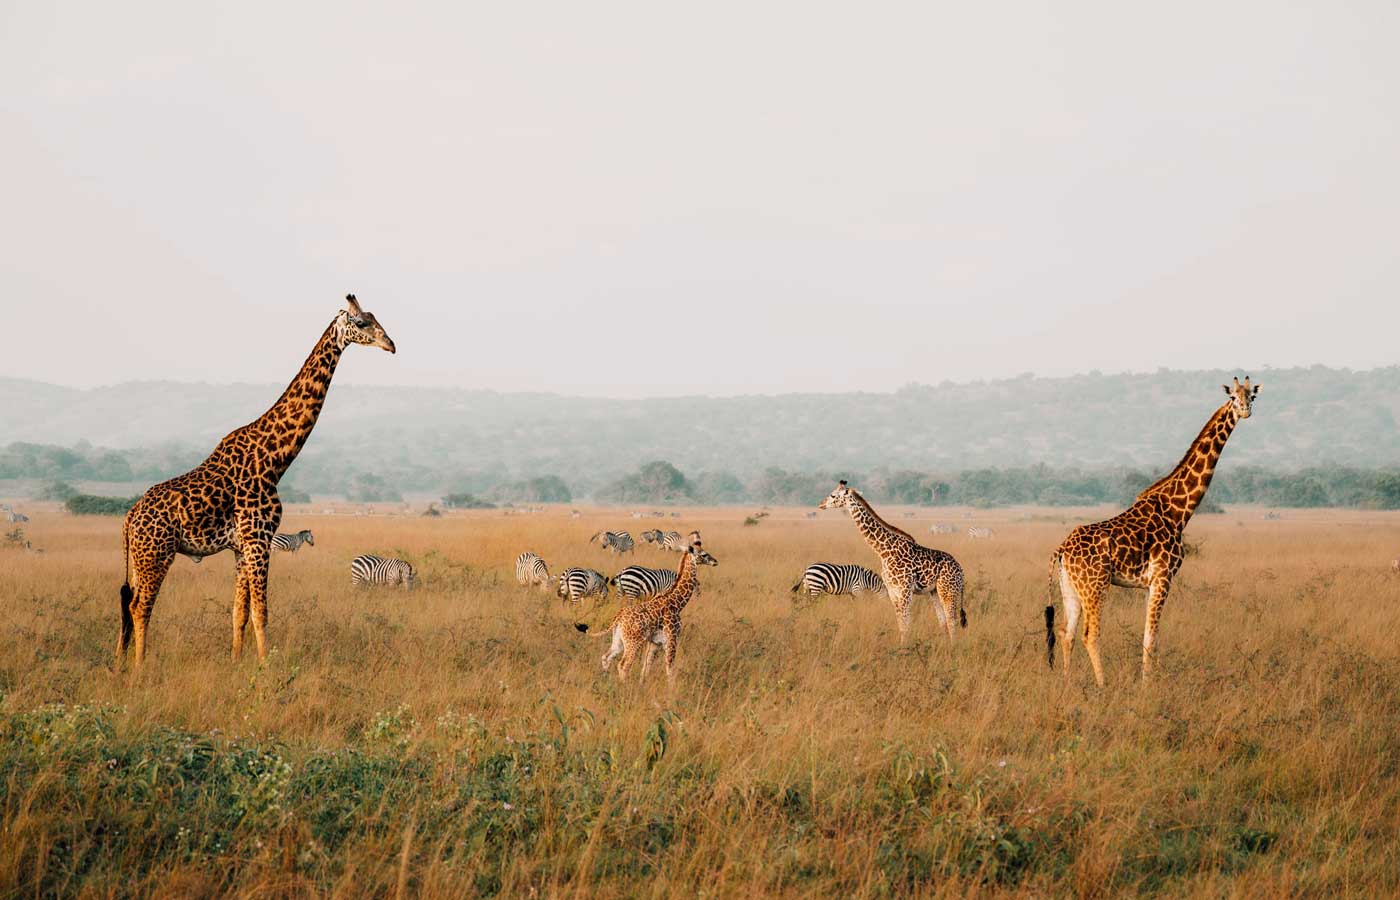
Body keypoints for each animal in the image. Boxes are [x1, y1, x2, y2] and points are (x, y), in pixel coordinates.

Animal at [116, 295, 394, 669]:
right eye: (363, 323)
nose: (391, 345)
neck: (275, 458)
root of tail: (129, 519)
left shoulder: (241, 546)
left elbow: (239, 612)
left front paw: (236, 661)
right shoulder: (259, 539)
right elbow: (262, 612)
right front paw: (266, 666)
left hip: (139, 557)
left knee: (127, 602)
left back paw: (119, 660)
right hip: (157, 553)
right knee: (139, 606)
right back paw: (140, 666)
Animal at [574, 531, 716, 685]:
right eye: (704, 554)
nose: (715, 561)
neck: (676, 602)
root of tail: (619, 617)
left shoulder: (654, 643)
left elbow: (646, 668)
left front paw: (642, 685)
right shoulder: (671, 639)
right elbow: (669, 669)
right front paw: (671, 690)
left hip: (619, 639)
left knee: (606, 657)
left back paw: (607, 681)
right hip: (633, 642)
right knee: (623, 665)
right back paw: (624, 687)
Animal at [817, 481, 968, 643]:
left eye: (833, 495)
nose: (821, 504)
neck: (883, 551)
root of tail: (961, 571)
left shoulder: (905, 590)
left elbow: (905, 623)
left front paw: (905, 647)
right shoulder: (892, 591)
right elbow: (900, 623)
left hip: (948, 590)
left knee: (952, 620)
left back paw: (953, 646)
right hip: (934, 591)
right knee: (943, 620)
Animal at [1047, 375, 1265, 683]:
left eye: (1252, 396)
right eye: (1233, 397)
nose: (1245, 411)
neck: (1179, 510)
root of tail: (1062, 550)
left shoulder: (1151, 582)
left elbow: (1149, 636)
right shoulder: (1163, 577)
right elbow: (1150, 638)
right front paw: (1147, 686)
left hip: (1070, 586)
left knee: (1067, 632)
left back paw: (1067, 683)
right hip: (1095, 585)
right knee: (1090, 634)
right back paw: (1102, 685)